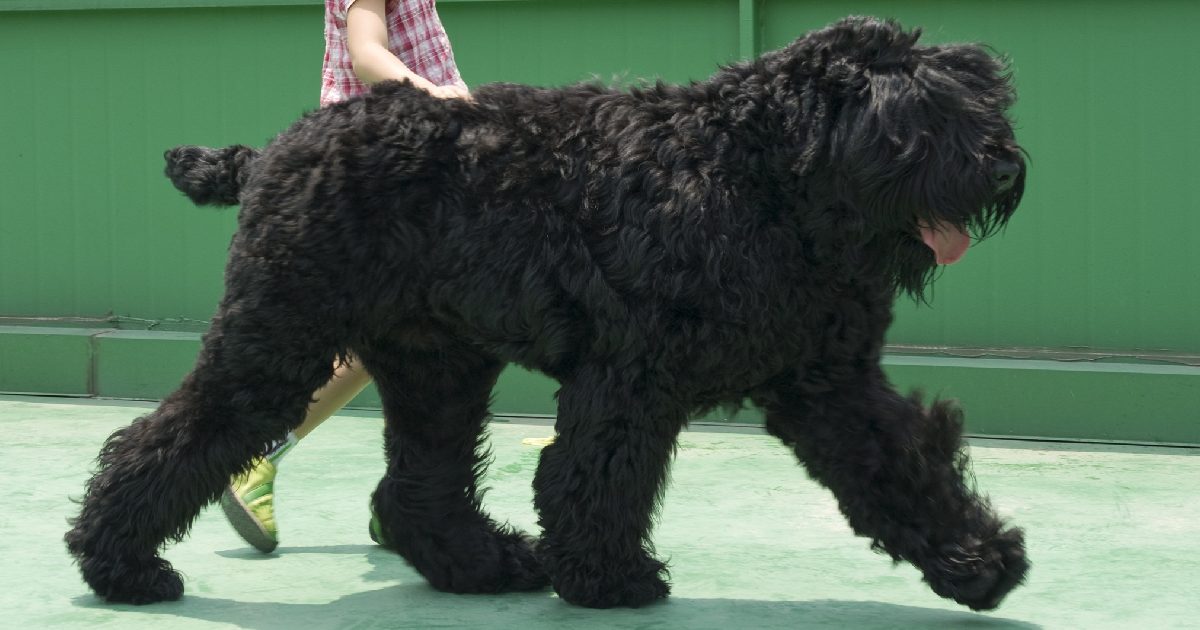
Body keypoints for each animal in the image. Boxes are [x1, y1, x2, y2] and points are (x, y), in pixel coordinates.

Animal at [65, 18, 1027, 609]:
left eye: (983, 98)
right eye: (916, 116)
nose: (1002, 165)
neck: (757, 174)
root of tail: (271, 150)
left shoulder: (829, 381)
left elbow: (900, 467)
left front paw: (977, 562)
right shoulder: (631, 373)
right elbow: (593, 475)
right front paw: (610, 577)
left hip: (437, 367)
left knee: (416, 489)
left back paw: (486, 563)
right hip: (278, 342)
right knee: (172, 438)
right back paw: (121, 564)